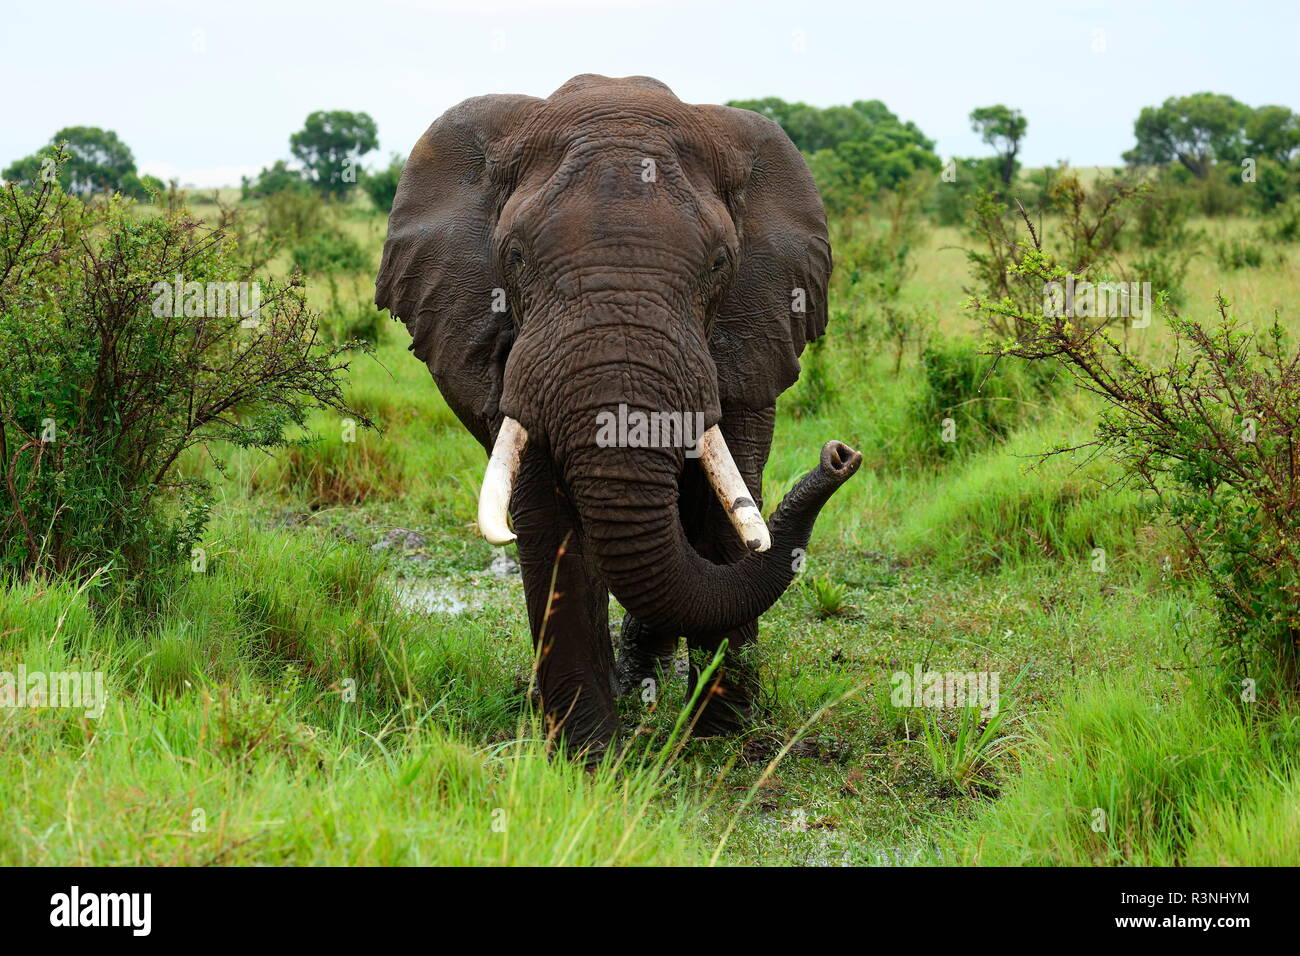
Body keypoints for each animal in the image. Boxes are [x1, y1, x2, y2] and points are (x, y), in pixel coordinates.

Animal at [374, 72, 863, 764]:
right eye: (514, 256)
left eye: (720, 264)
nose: (840, 455)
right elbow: (550, 526)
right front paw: (590, 760)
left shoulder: (751, 335)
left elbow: (722, 514)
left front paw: (720, 739)